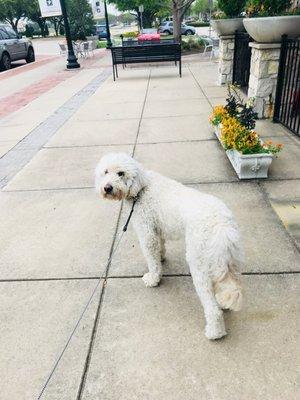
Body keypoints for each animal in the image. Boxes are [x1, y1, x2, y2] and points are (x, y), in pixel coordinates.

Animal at [96, 153, 244, 340]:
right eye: (105, 171)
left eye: (121, 173)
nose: (107, 188)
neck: (141, 188)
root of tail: (223, 227)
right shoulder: (156, 228)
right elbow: (160, 247)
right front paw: (161, 257)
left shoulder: (147, 232)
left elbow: (151, 259)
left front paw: (153, 278)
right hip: (228, 261)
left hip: (199, 264)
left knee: (212, 308)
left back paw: (214, 332)